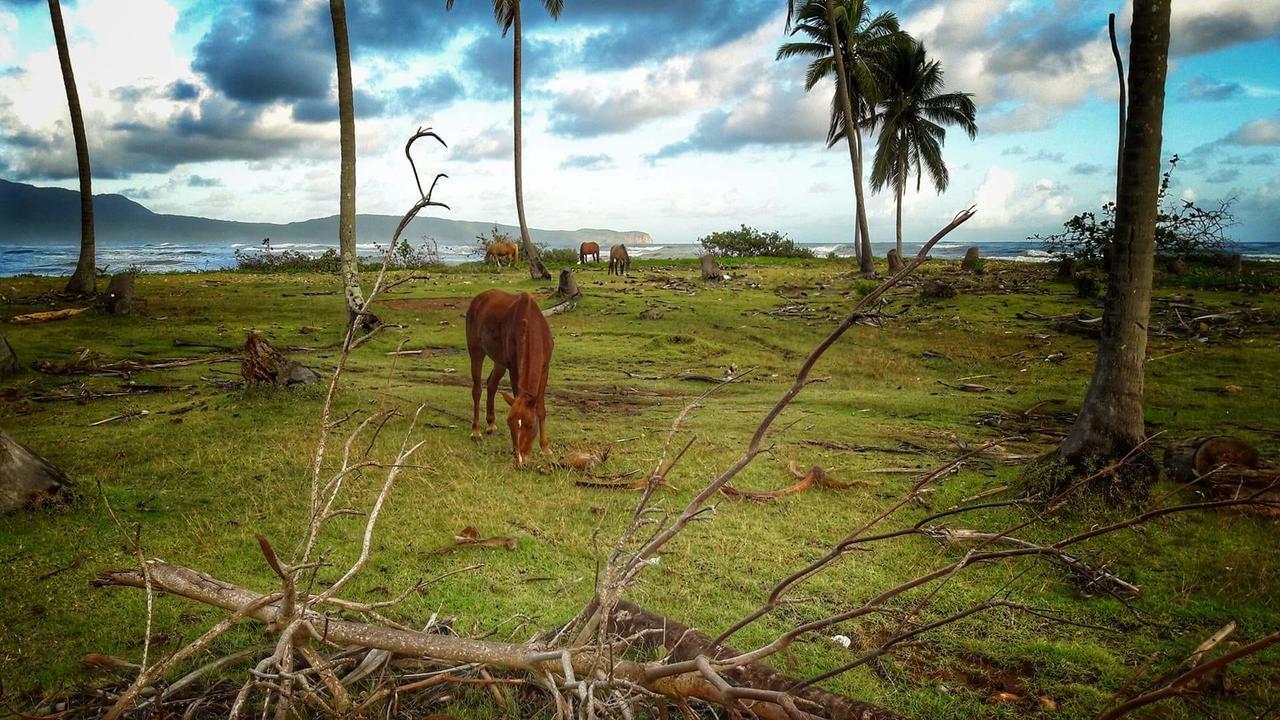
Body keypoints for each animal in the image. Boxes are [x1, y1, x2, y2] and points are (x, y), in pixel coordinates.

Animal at [468, 286, 552, 466]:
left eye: (530, 425)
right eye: (510, 424)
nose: (520, 459)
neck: (532, 325)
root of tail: (480, 298)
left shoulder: (545, 368)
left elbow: (541, 409)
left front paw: (545, 448)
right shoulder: (514, 369)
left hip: (499, 361)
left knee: (491, 384)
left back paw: (491, 423)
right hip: (476, 352)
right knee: (477, 390)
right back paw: (476, 430)